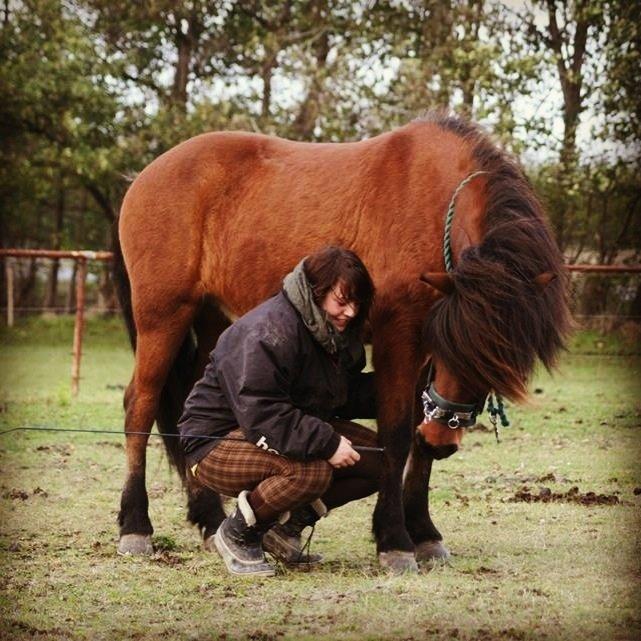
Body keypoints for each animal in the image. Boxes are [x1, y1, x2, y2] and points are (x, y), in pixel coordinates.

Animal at [112, 112, 568, 572]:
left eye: (495, 361)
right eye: (451, 351)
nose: (443, 441)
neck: (433, 202)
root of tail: (143, 177)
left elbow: (415, 433)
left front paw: (424, 532)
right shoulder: (397, 338)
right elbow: (397, 434)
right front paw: (395, 539)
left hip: (210, 318)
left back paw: (209, 520)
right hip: (163, 316)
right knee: (141, 404)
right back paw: (136, 526)